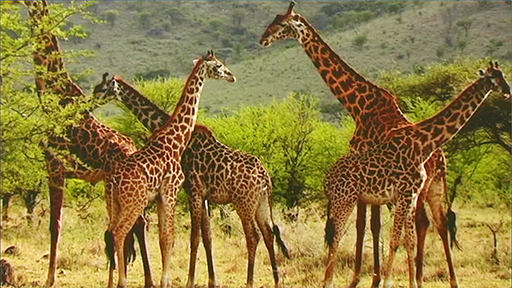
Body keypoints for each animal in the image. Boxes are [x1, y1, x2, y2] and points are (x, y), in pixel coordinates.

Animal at [23, 1, 154, 286]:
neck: (53, 95)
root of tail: (134, 149)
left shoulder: (55, 166)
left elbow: (55, 224)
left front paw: (49, 279)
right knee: (125, 227)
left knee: (137, 224)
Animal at [93, 75, 290, 288]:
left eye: (100, 89)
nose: (89, 103)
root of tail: (265, 176)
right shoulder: (203, 194)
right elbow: (208, 237)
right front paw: (212, 280)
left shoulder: (192, 189)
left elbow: (195, 237)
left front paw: (191, 280)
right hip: (261, 203)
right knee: (269, 234)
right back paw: (277, 280)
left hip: (244, 203)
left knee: (254, 236)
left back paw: (250, 281)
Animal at [104, 50, 236, 288]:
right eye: (219, 66)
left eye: (103, 87)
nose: (232, 76)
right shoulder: (181, 191)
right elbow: (182, 237)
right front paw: (180, 280)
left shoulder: (180, 191)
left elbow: (179, 237)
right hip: (131, 203)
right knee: (117, 234)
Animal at [260, 1, 456, 286]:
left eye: (281, 24)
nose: (262, 39)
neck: (358, 105)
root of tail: (439, 157)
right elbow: (372, 225)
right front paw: (372, 276)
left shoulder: (363, 165)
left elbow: (365, 224)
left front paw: (362, 278)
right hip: (434, 187)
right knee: (438, 223)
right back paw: (444, 278)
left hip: (419, 188)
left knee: (423, 222)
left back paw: (418, 276)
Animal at [322, 63, 510, 288]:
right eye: (492, 78)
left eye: (503, 75)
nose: (507, 91)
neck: (424, 142)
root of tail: (327, 179)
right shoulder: (405, 193)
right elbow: (395, 239)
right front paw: (387, 282)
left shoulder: (411, 194)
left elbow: (408, 240)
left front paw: (410, 282)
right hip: (346, 200)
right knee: (336, 236)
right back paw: (328, 282)